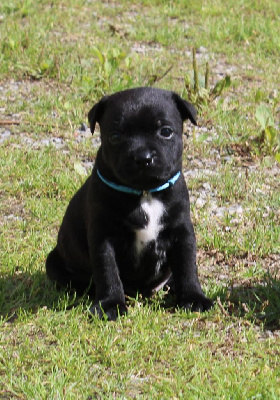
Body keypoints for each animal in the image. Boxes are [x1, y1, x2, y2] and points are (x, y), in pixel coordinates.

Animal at [46, 86, 212, 318]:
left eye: (166, 132)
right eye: (115, 136)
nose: (143, 157)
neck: (145, 193)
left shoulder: (182, 232)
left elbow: (187, 266)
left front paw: (193, 297)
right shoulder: (104, 238)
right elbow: (108, 272)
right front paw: (110, 304)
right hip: (54, 263)